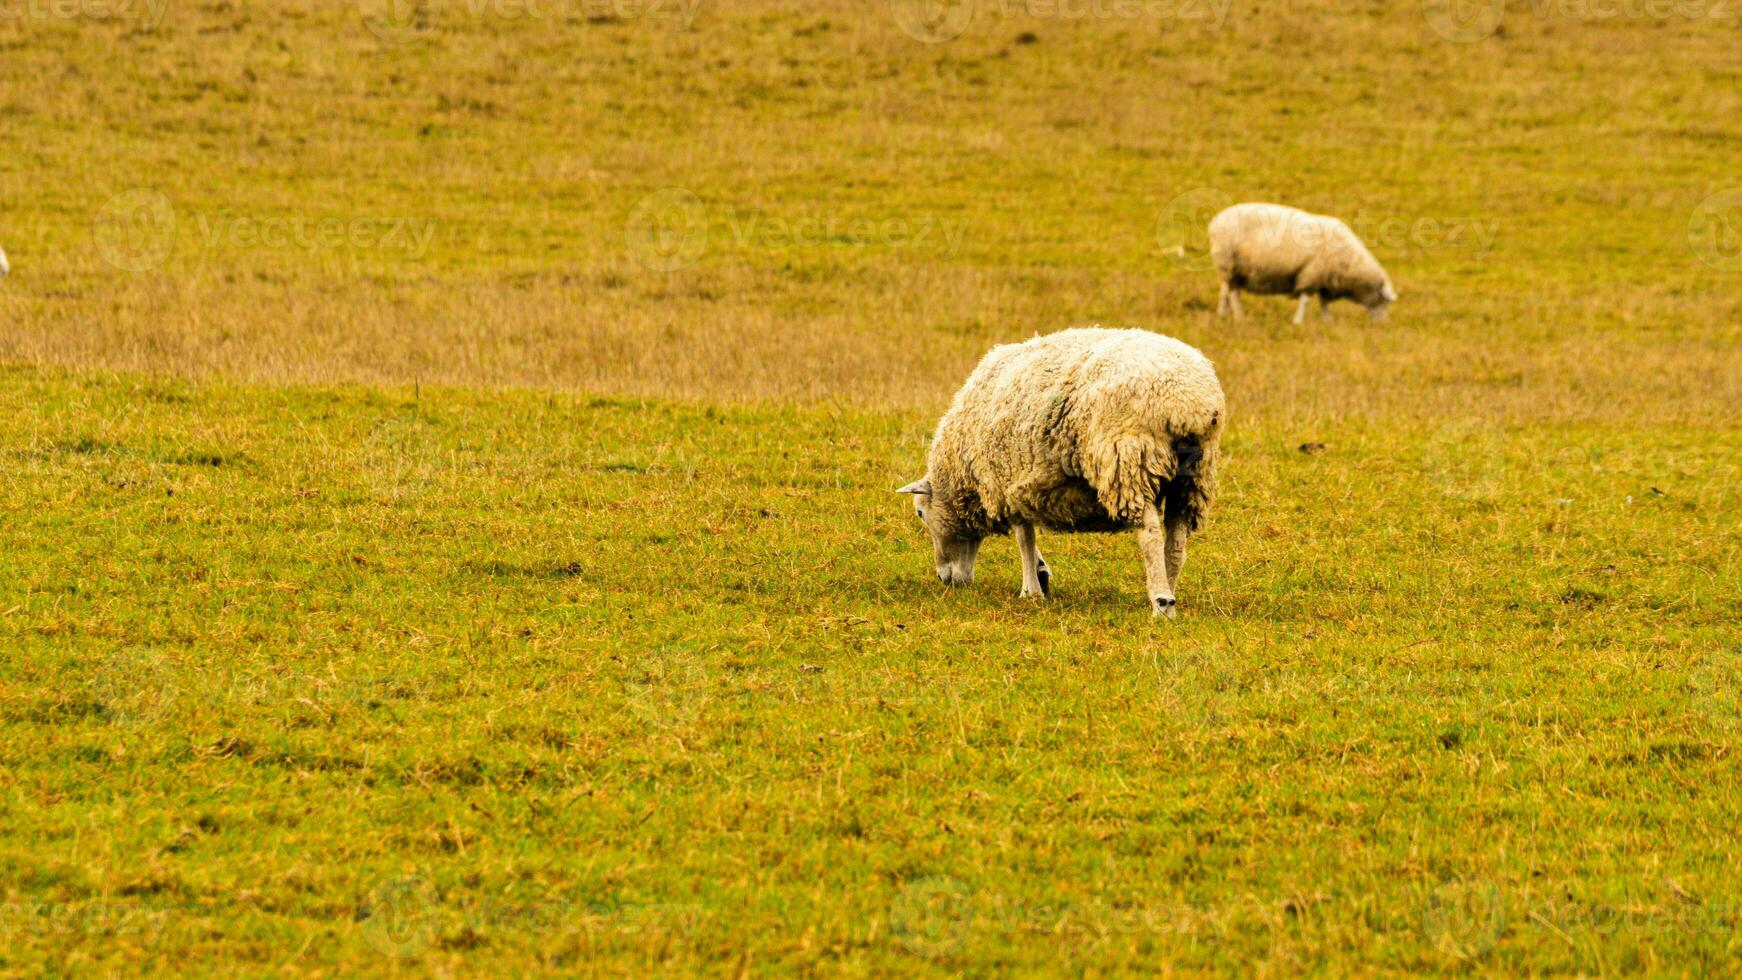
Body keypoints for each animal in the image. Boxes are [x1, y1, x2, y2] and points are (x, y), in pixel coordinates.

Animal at [898, 328, 1226, 619]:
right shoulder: (1021, 485)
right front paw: (1040, 574)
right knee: (1176, 543)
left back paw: (1161, 602)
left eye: (920, 513)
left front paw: (1030, 590)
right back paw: (1169, 589)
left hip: (1129, 460)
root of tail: (1189, 402)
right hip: (1192, 476)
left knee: (1151, 537)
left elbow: (1024, 538)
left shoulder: (1007, 481)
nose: (945, 580)